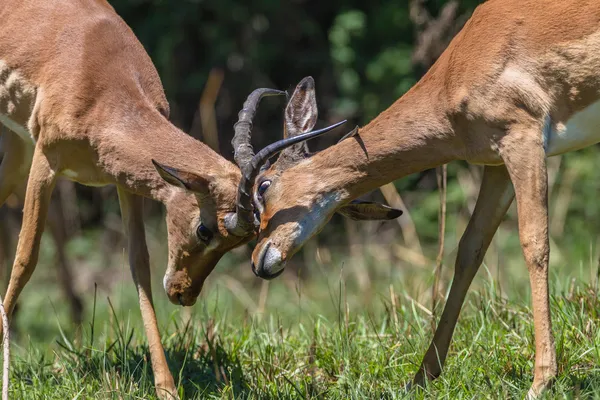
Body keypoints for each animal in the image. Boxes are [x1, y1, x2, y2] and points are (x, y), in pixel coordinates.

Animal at [0, 1, 292, 398]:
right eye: (204, 230)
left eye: (241, 242)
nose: (184, 294)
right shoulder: (46, 159)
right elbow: (27, 256)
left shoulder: (125, 183)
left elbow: (139, 265)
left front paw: (166, 388)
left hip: (16, 147)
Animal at [236, 0, 600, 396]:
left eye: (263, 186)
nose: (258, 260)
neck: (458, 69)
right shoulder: (497, 165)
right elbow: (469, 250)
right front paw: (422, 376)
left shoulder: (523, 140)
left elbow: (534, 244)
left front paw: (541, 381)